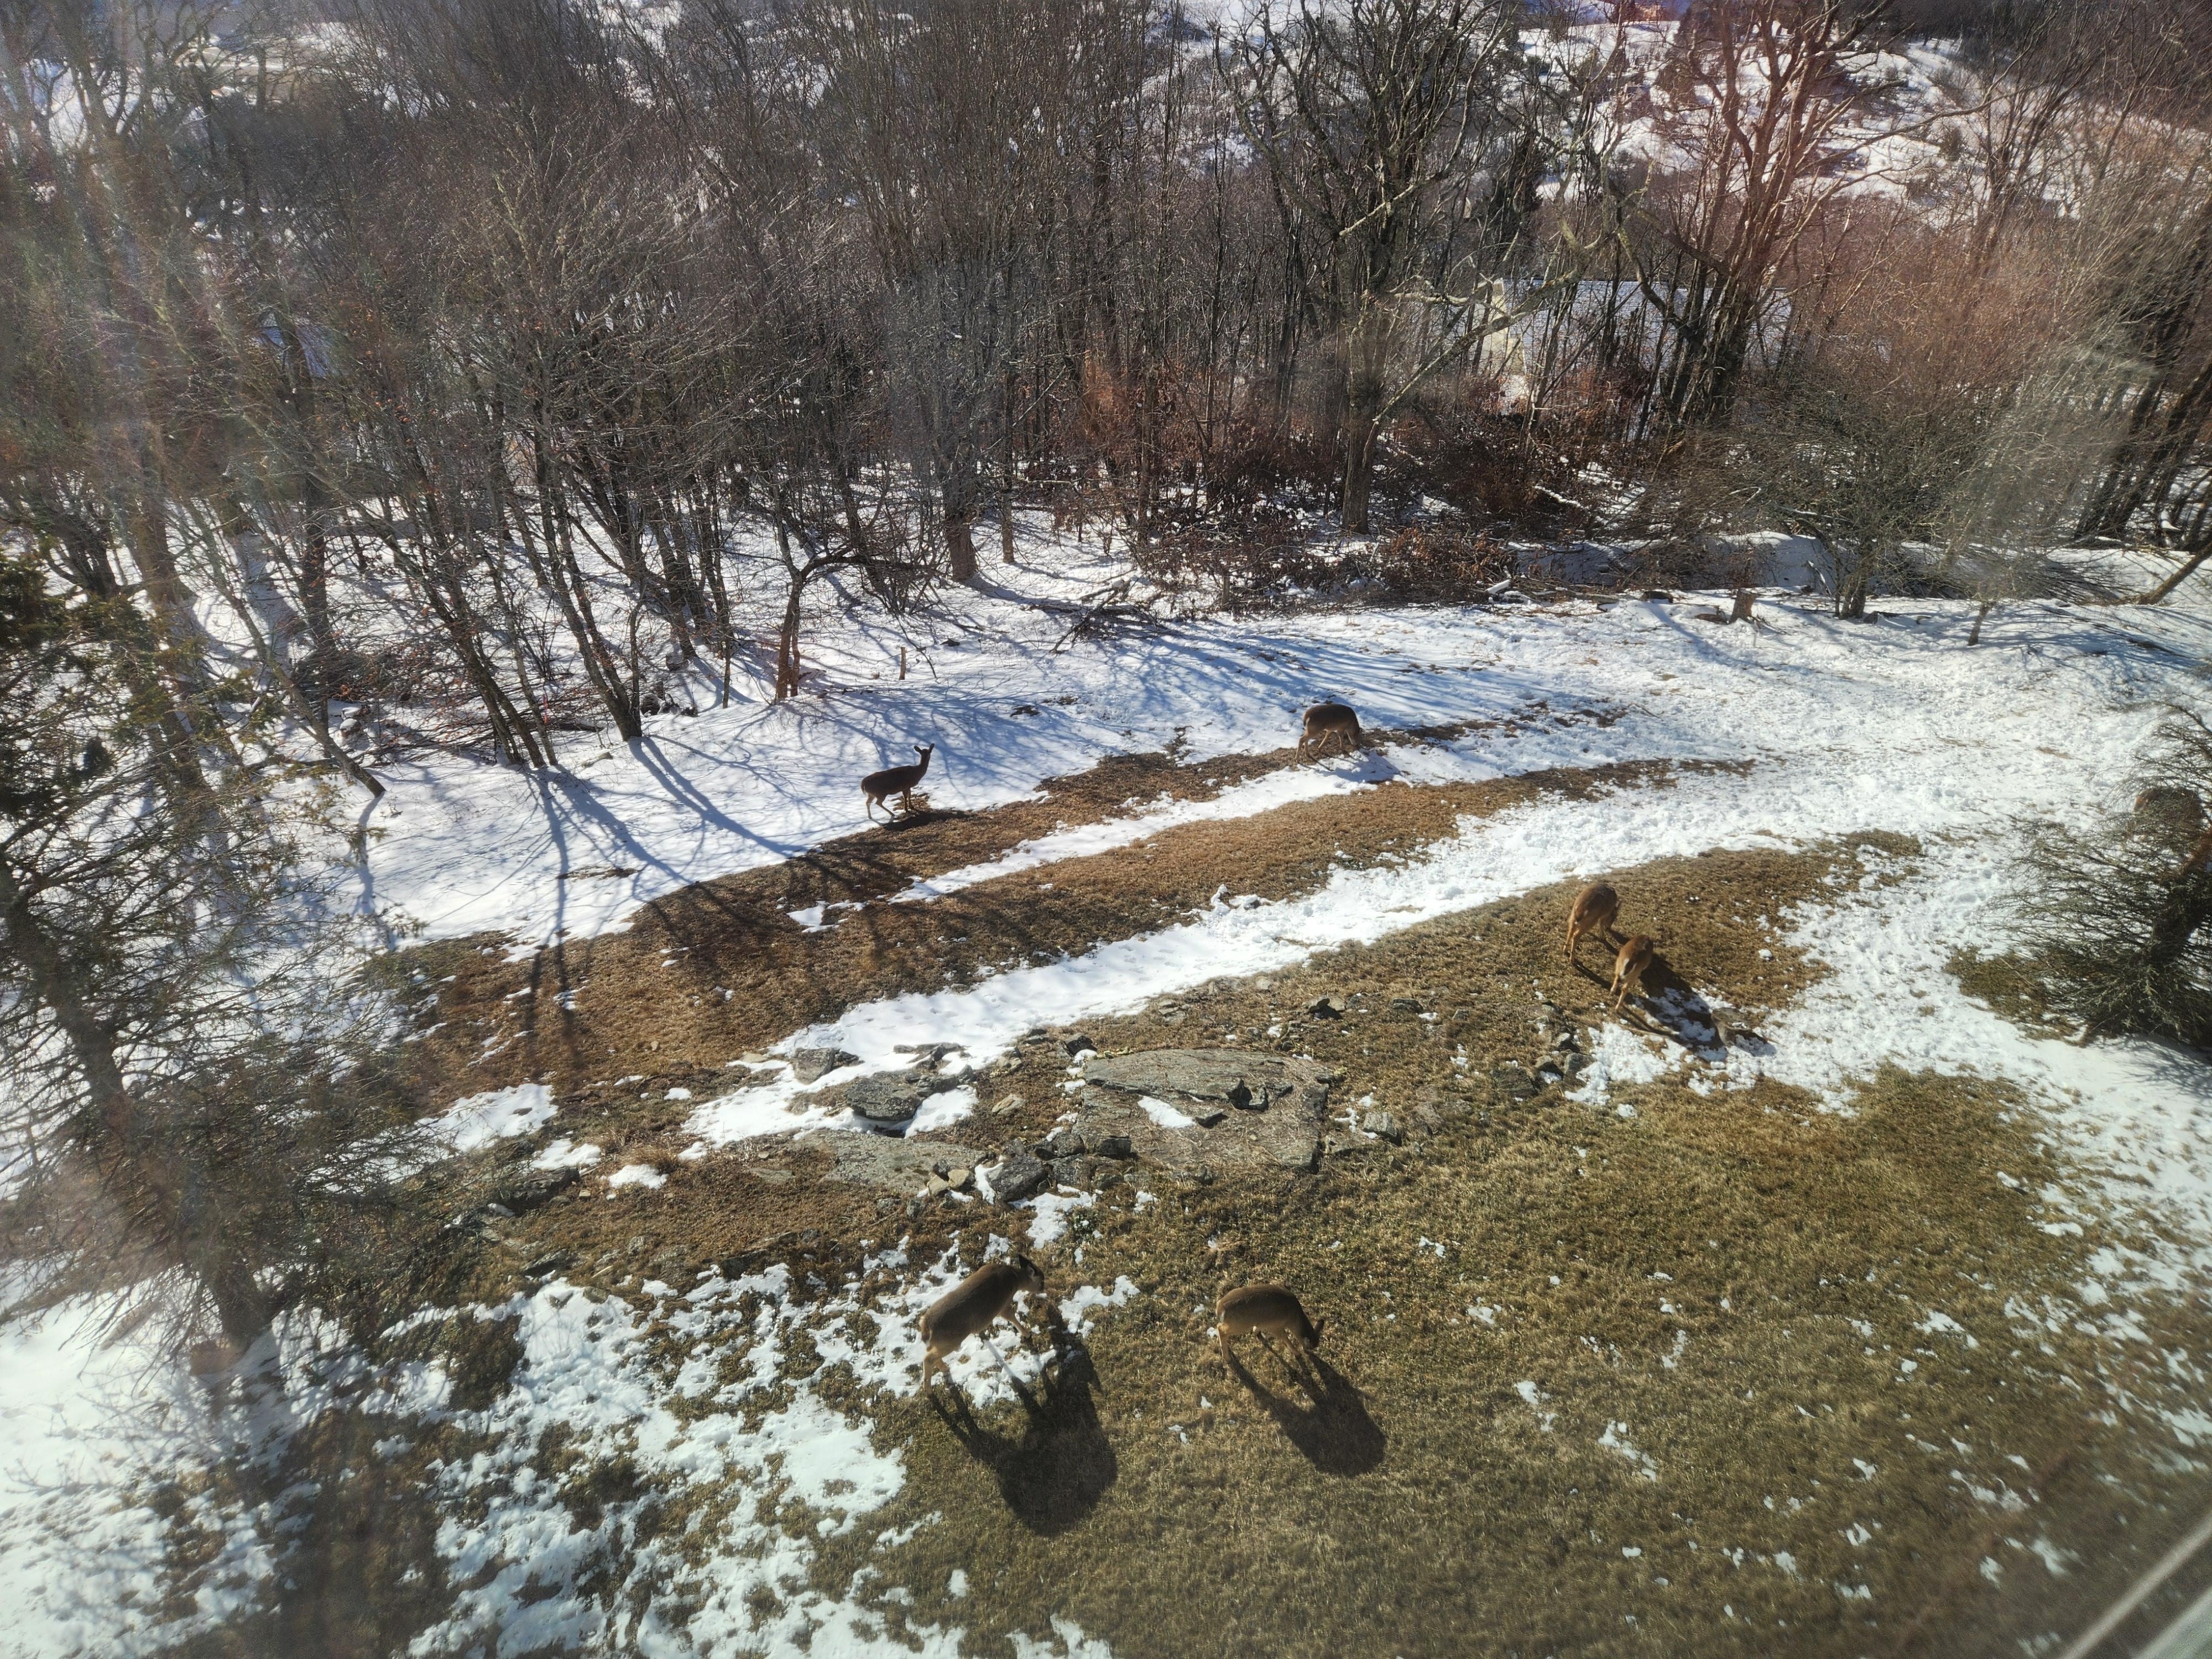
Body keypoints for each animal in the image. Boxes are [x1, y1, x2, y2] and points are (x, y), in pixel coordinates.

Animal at [862, 743, 933, 822]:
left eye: (929, 751)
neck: (917, 772)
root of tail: (863, 782)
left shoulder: (909, 786)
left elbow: (910, 795)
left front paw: (911, 806)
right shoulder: (905, 787)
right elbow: (905, 797)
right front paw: (906, 809)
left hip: (871, 794)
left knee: (868, 803)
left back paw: (870, 816)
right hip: (880, 793)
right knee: (878, 803)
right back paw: (891, 813)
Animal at [919, 1254, 1047, 1393]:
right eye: (1041, 1282)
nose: (1044, 1289)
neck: (1015, 1279)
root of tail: (926, 1326)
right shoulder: (1003, 1305)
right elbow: (1011, 1317)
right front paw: (1027, 1334)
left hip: (941, 1343)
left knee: (930, 1354)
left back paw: (945, 1369)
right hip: (951, 1342)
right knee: (927, 1358)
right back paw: (928, 1391)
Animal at [1216, 1283, 1323, 1372]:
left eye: (1317, 1343)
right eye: (1309, 1346)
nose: (1307, 1351)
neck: (1293, 1318)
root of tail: (1219, 1307)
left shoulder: (1264, 1323)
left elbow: (1258, 1328)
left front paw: (1256, 1332)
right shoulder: (1274, 1326)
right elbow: (1285, 1337)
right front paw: (1297, 1354)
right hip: (1240, 1325)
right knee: (1220, 1329)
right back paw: (1228, 1358)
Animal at [1564, 881, 1621, 965]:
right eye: (1614, 917)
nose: (1608, 928)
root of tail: (1580, 912)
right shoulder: (1604, 915)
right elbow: (1601, 924)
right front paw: (1603, 937)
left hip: (1572, 917)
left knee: (1570, 932)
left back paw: (1565, 950)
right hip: (1591, 921)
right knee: (1576, 935)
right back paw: (1572, 960)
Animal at [1610, 934, 1658, 1012]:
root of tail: (1631, 961)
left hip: (1619, 964)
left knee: (1618, 978)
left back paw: (1612, 992)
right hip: (1634, 974)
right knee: (1625, 988)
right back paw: (1618, 1008)